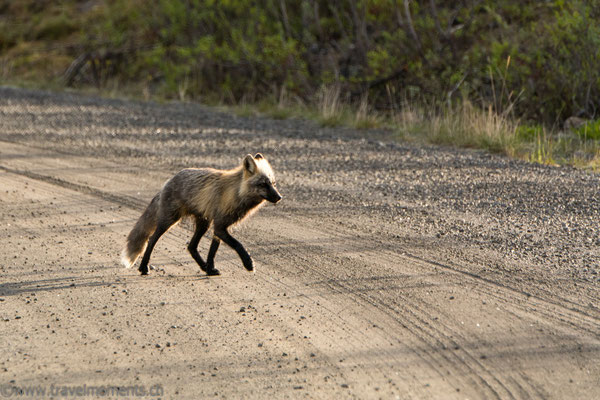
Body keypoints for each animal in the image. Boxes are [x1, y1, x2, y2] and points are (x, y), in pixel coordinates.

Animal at [122, 153, 284, 276]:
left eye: (273, 183)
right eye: (263, 184)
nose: (279, 197)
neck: (236, 193)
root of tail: (169, 180)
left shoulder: (219, 227)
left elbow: (212, 252)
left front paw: (210, 269)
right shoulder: (220, 226)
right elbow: (238, 245)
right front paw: (248, 264)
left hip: (203, 224)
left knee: (191, 247)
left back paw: (203, 267)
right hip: (169, 221)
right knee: (151, 240)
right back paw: (143, 267)